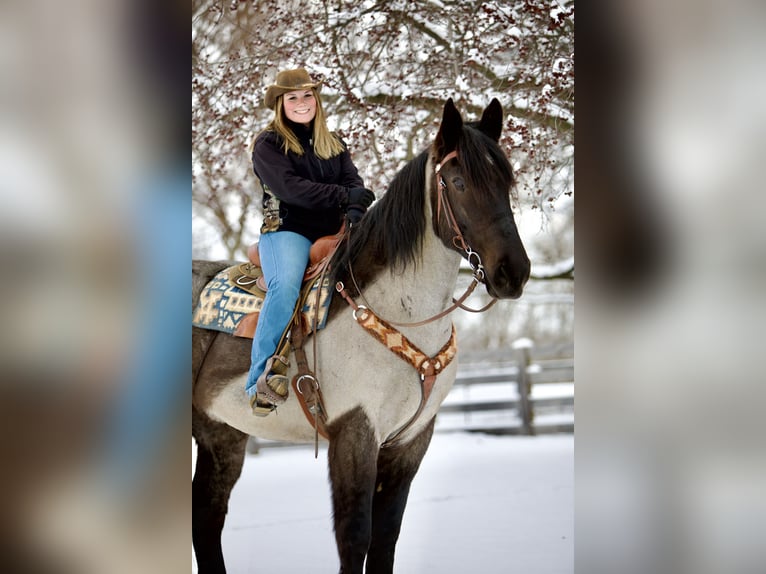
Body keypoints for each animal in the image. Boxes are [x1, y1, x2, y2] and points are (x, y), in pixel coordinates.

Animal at [192, 99, 532, 574]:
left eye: (507, 181)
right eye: (458, 181)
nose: (512, 273)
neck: (400, 315)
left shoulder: (410, 442)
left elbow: (386, 538)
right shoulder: (354, 434)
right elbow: (355, 538)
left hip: (221, 435)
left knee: (206, 518)